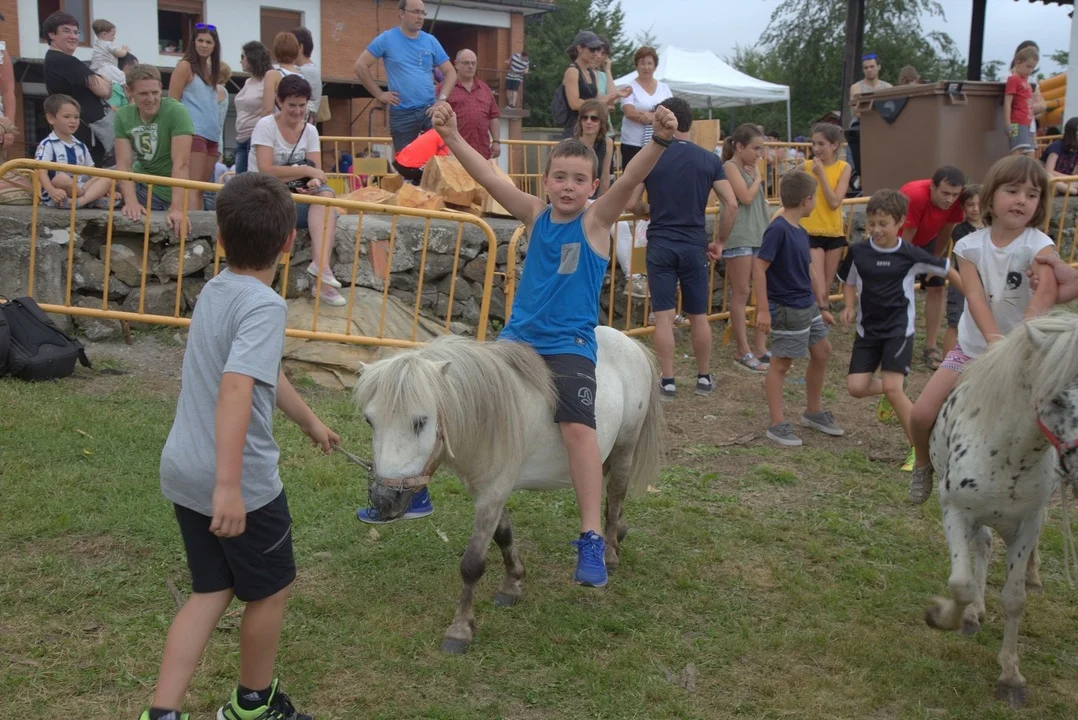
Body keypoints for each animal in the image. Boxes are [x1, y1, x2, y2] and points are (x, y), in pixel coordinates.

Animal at [353, 325, 663, 653]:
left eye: (420, 421)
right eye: (370, 420)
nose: (384, 500)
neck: (489, 414)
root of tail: (630, 342)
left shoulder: (493, 492)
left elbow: (472, 563)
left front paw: (460, 629)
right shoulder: (486, 490)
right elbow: (503, 536)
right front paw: (513, 583)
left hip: (625, 447)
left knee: (615, 494)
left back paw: (609, 554)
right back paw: (618, 533)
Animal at [923, 312, 1078, 707]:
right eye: (1057, 399)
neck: (1009, 452)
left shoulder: (1027, 523)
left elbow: (1013, 598)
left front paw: (1010, 676)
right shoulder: (957, 511)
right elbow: (960, 584)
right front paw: (942, 615)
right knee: (983, 546)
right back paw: (972, 614)